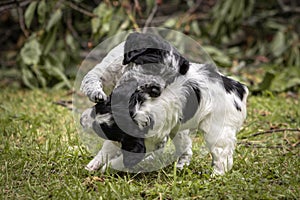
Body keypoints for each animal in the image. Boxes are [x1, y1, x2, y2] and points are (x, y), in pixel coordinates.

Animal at [79, 32, 248, 174]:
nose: (81, 121)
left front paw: (107, 167)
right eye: (96, 108)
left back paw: (216, 175)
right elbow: (110, 147)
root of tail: (239, 88)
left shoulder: (149, 141)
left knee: (222, 155)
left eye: (98, 129)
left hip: (217, 129)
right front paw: (95, 164)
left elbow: (126, 157)